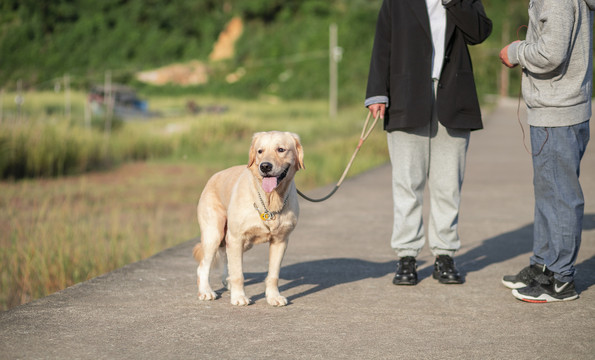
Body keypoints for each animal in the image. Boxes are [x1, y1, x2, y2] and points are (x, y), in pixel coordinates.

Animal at [196, 131, 304, 306]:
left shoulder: (280, 240)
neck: (270, 200)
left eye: (281, 149)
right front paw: (239, 297)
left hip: (242, 242)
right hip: (214, 233)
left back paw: (226, 281)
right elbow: (238, 274)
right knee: (203, 266)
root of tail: (212, 177)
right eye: (260, 151)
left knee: (225, 255)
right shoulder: (236, 237)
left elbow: (273, 275)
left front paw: (273, 296)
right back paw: (206, 291)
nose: (265, 166)